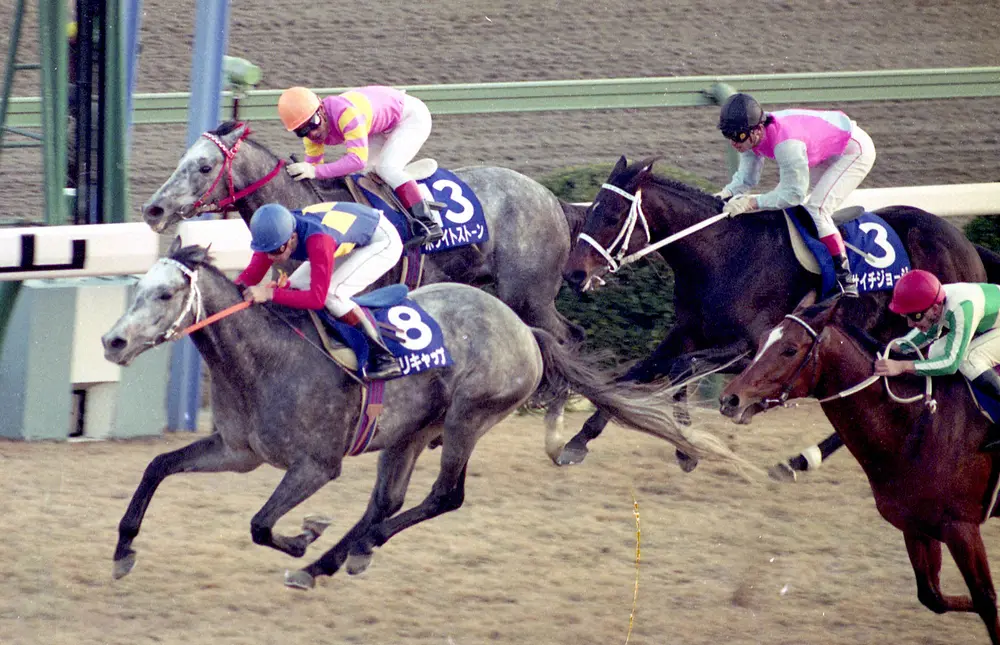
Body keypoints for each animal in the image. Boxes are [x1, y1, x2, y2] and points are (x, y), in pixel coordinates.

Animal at [100, 239, 754, 590]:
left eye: (165, 294)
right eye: (136, 288)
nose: (111, 341)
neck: (265, 358)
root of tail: (526, 330)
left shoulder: (315, 465)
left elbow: (261, 524)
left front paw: (302, 537)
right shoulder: (239, 453)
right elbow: (157, 467)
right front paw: (124, 550)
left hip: (468, 416)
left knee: (442, 497)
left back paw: (347, 550)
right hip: (410, 431)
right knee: (387, 502)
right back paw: (331, 562)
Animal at [140, 121, 586, 348]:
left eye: (204, 167)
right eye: (182, 159)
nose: (153, 210)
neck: (298, 204)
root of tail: (551, 198)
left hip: (528, 294)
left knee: (567, 334)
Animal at [560, 155, 1000, 475]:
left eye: (612, 216)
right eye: (591, 208)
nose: (573, 273)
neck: (724, 256)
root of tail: (963, 242)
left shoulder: (754, 345)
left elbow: (681, 368)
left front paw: (686, 446)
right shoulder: (686, 332)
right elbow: (634, 373)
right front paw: (577, 441)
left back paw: (806, 459)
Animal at [719, 293, 1000, 644]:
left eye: (789, 349)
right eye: (761, 342)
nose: (729, 399)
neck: (919, 421)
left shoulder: (960, 526)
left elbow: (986, 599)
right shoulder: (916, 525)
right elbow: (933, 596)